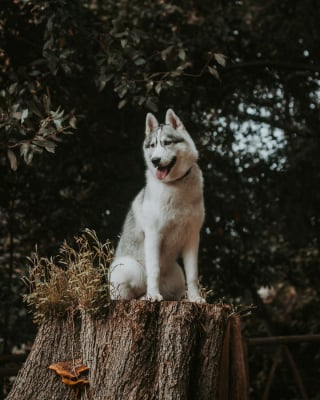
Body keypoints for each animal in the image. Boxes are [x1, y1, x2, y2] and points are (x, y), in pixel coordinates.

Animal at [110, 109, 205, 304]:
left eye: (167, 143)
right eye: (152, 145)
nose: (155, 160)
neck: (175, 186)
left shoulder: (193, 237)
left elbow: (193, 275)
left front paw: (195, 298)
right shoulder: (154, 235)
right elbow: (154, 270)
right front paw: (153, 295)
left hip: (178, 277)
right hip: (128, 268)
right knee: (128, 294)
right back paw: (145, 296)